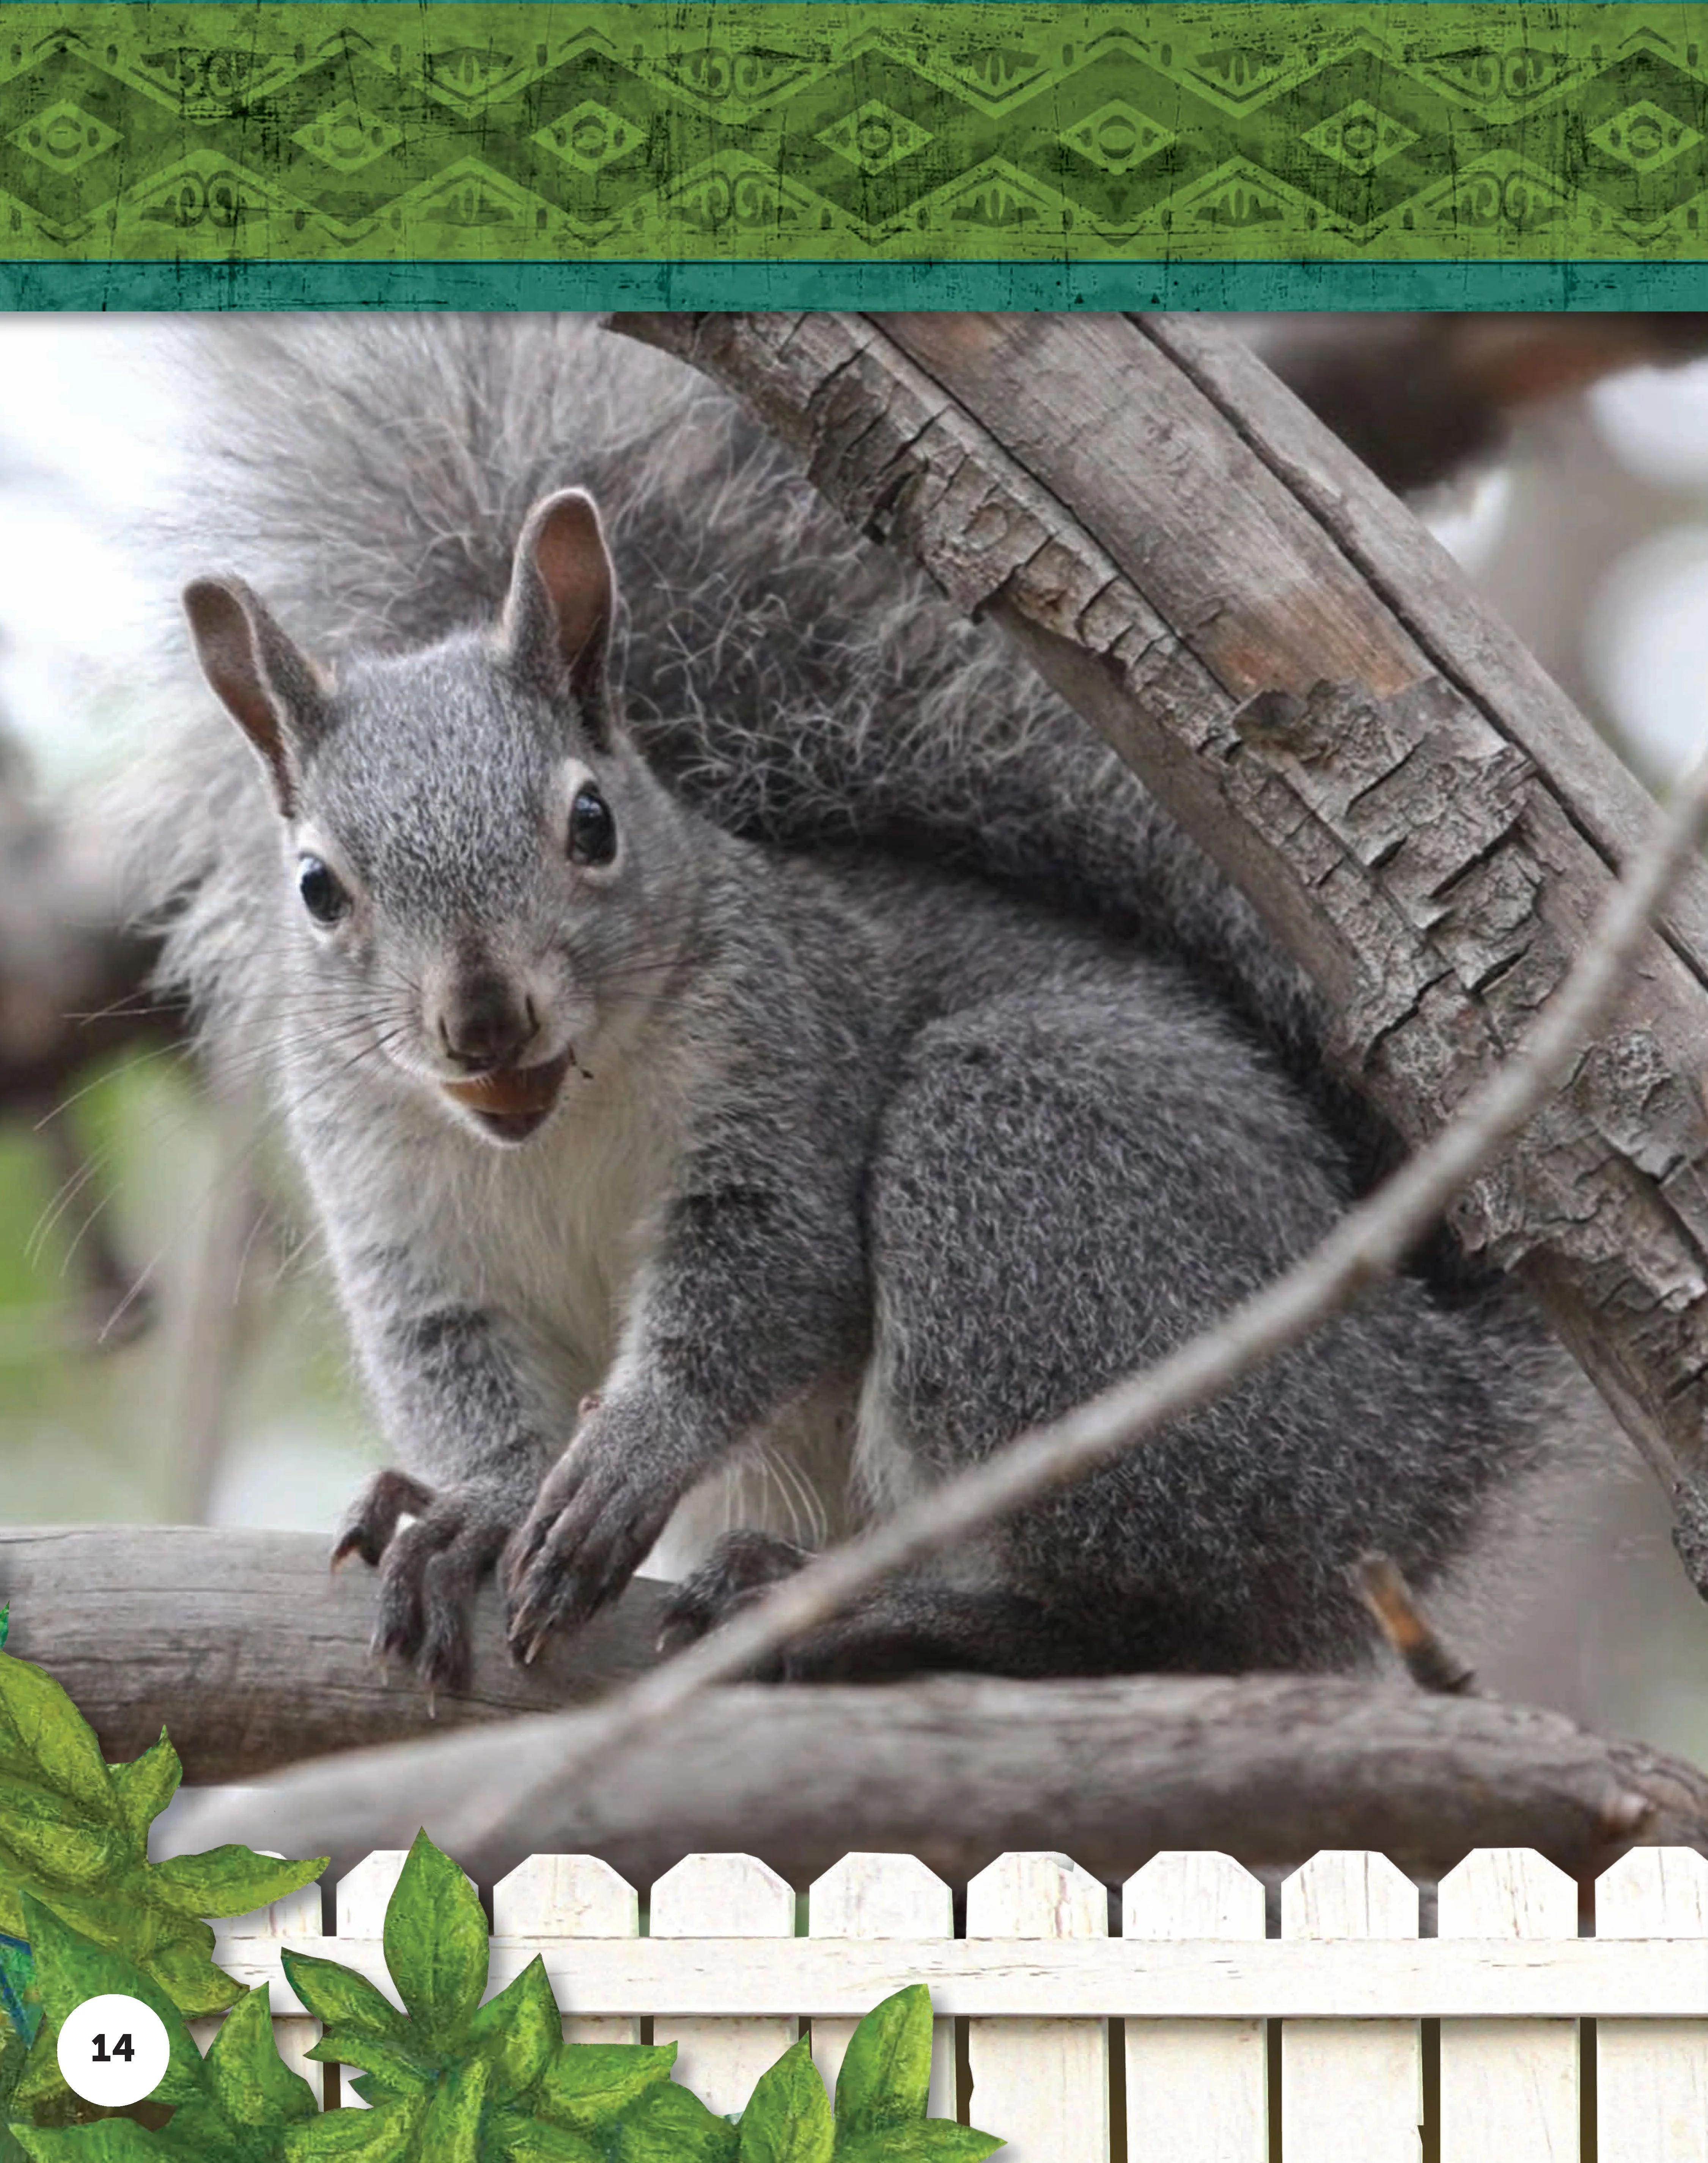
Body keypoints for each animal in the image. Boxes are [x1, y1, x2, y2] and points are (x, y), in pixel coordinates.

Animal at [125, 313, 1604, 1695]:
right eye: (317, 887)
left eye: (592, 822)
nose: (483, 1020)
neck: (555, 1125)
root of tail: (1428, 1432)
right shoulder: (403, 1223)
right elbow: (452, 1372)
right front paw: (471, 1509)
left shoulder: (786, 1062)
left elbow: (767, 1280)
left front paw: (624, 1460)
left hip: (1042, 1188)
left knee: (1161, 1617)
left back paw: (900, 1614)